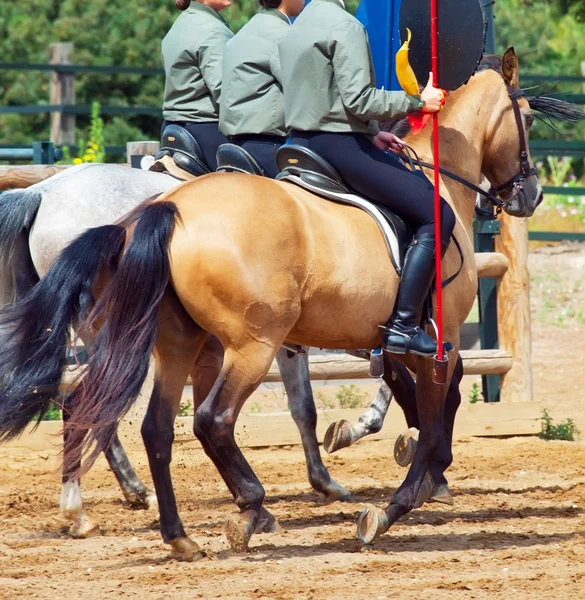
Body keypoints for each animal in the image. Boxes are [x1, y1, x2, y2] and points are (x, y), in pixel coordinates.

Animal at [1, 49, 576, 560]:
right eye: (526, 118)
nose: (531, 196)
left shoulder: (370, 340)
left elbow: (330, 404)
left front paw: (368, 468)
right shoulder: (438, 341)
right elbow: (434, 415)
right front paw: (396, 499)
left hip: (178, 343)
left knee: (150, 425)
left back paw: (175, 533)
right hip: (242, 345)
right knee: (189, 417)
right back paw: (235, 508)